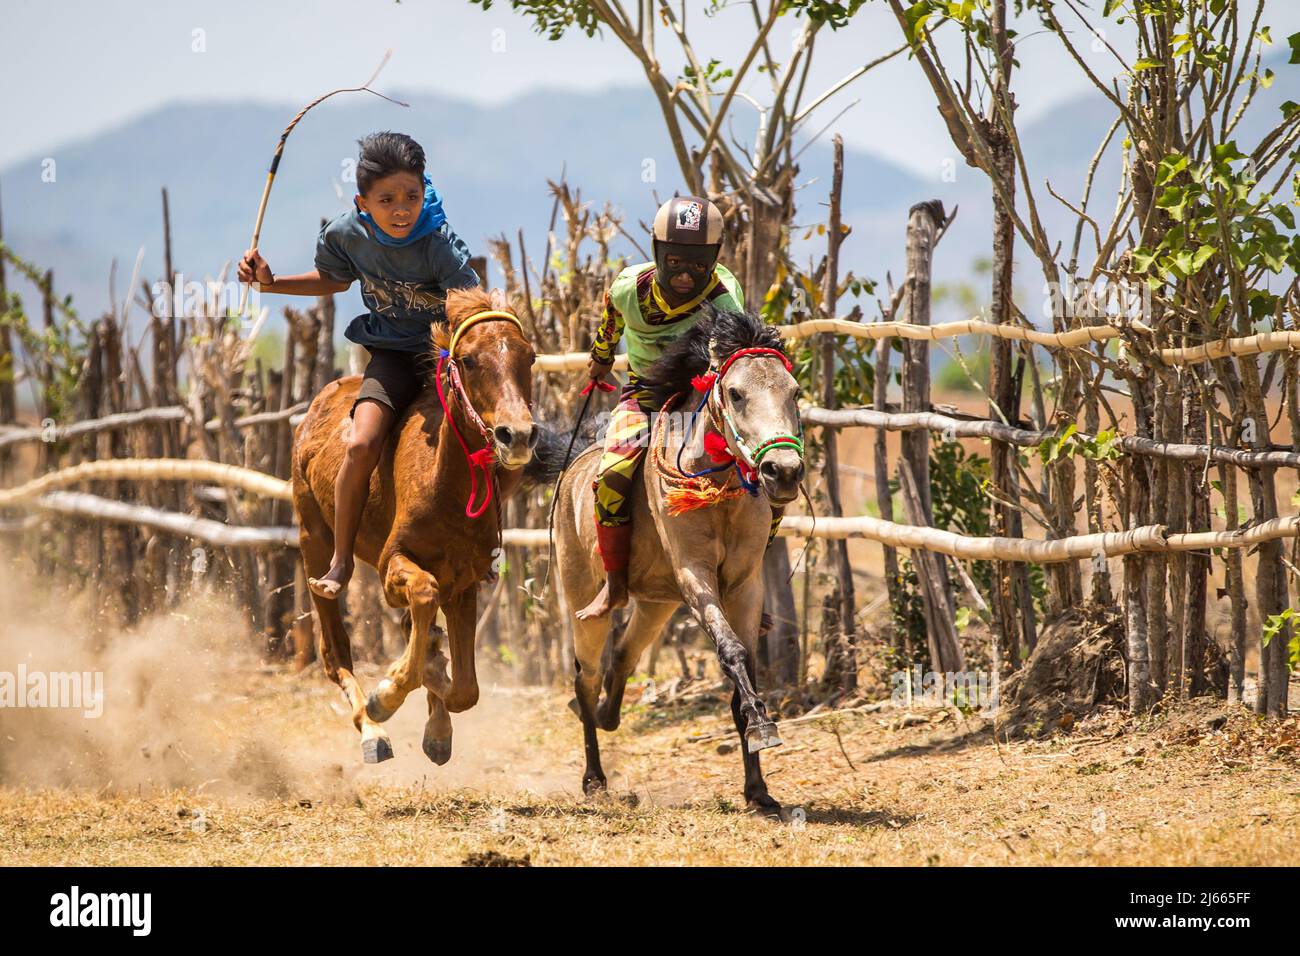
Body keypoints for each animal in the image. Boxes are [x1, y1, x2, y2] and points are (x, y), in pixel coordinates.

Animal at [291, 287, 553, 765]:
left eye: (530, 356)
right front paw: (387, 695)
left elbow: (465, 688)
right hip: (313, 542)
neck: (446, 482)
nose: (518, 435)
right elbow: (423, 596)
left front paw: (436, 719)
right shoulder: (393, 566)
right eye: (468, 360)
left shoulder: (465, 584)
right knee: (335, 652)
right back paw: (372, 728)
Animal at [554, 307, 805, 816]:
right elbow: (732, 652)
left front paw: (758, 785)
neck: (716, 488)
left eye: (794, 392)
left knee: (623, 657)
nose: (784, 471)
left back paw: (610, 716)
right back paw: (594, 778)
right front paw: (762, 726)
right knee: (586, 679)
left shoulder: (745, 585)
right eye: (736, 393)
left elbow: (744, 667)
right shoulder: (696, 577)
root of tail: (572, 472)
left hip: (656, 604)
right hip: (583, 601)